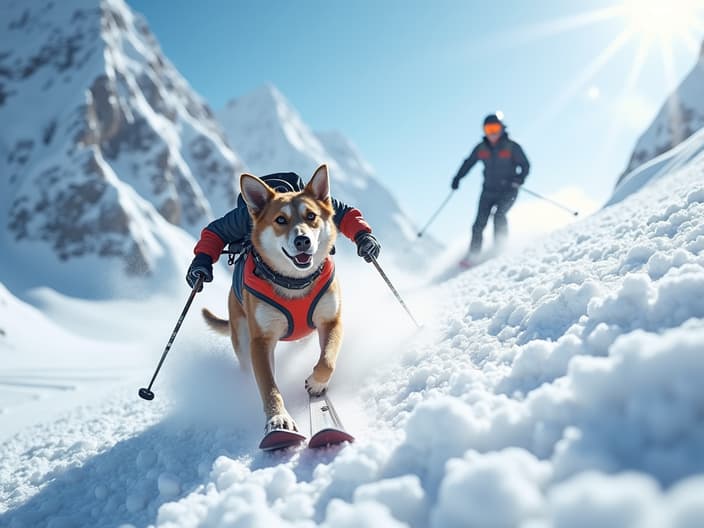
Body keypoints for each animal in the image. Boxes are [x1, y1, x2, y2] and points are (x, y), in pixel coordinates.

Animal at [201, 165, 344, 434]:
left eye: (311, 216)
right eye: (280, 220)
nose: (302, 240)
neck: (294, 282)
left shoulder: (331, 320)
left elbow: (328, 360)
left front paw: (316, 384)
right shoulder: (261, 341)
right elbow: (269, 387)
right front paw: (278, 419)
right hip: (242, 336)